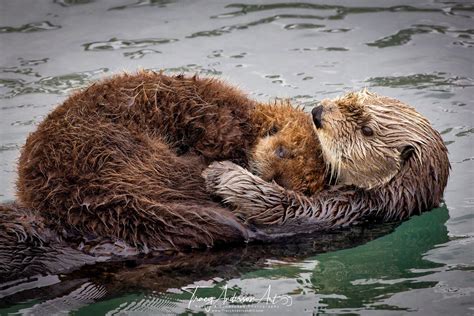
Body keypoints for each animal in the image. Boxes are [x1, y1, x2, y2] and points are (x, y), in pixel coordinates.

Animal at [14, 71, 326, 252]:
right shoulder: (218, 121)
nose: (273, 180)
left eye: (302, 184)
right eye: (283, 152)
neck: (246, 119)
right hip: (116, 147)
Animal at [203, 90, 448, 226]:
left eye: (367, 130)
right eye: (349, 97)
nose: (318, 113)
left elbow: (282, 207)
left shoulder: (347, 206)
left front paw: (221, 173)